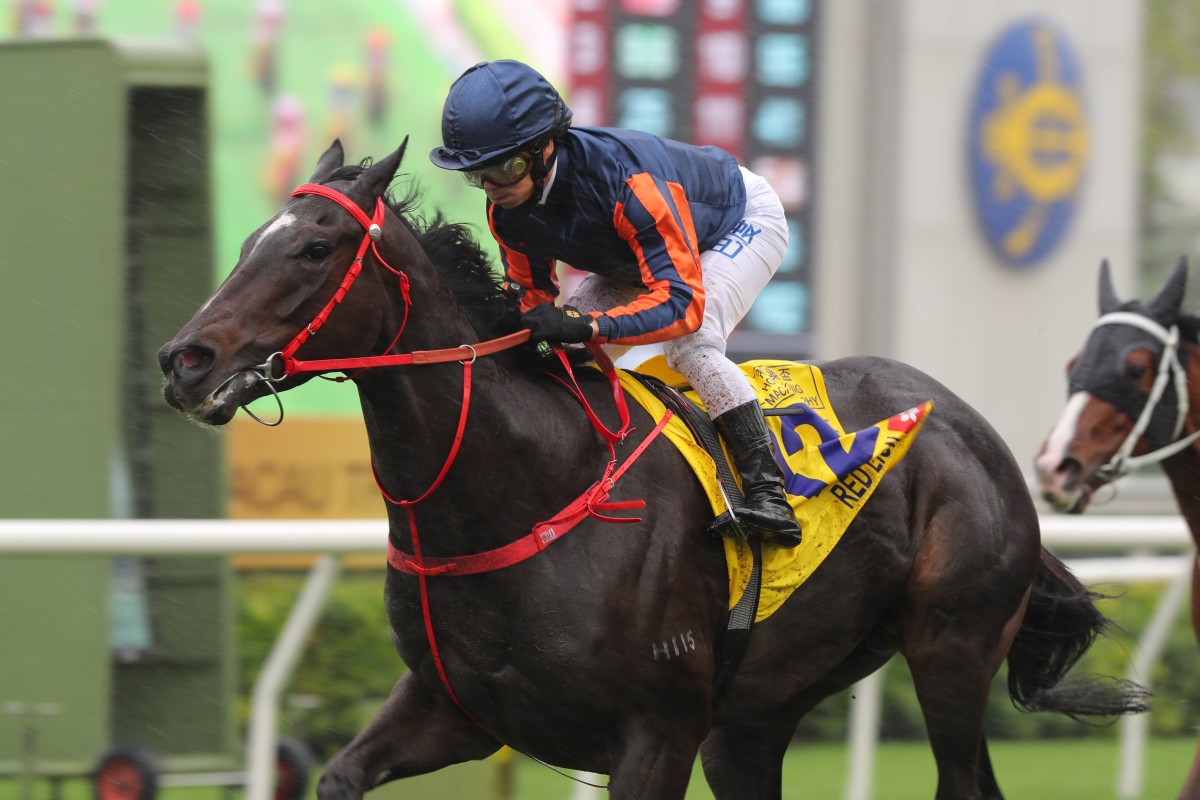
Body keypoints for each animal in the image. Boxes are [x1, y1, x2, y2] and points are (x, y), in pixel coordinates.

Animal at [159, 143, 1142, 800]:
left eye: (314, 248)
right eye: (250, 240)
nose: (184, 360)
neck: (523, 487)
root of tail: (970, 426)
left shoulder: (657, 732)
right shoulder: (454, 709)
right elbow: (339, 775)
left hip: (951, 648)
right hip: (757, 715)